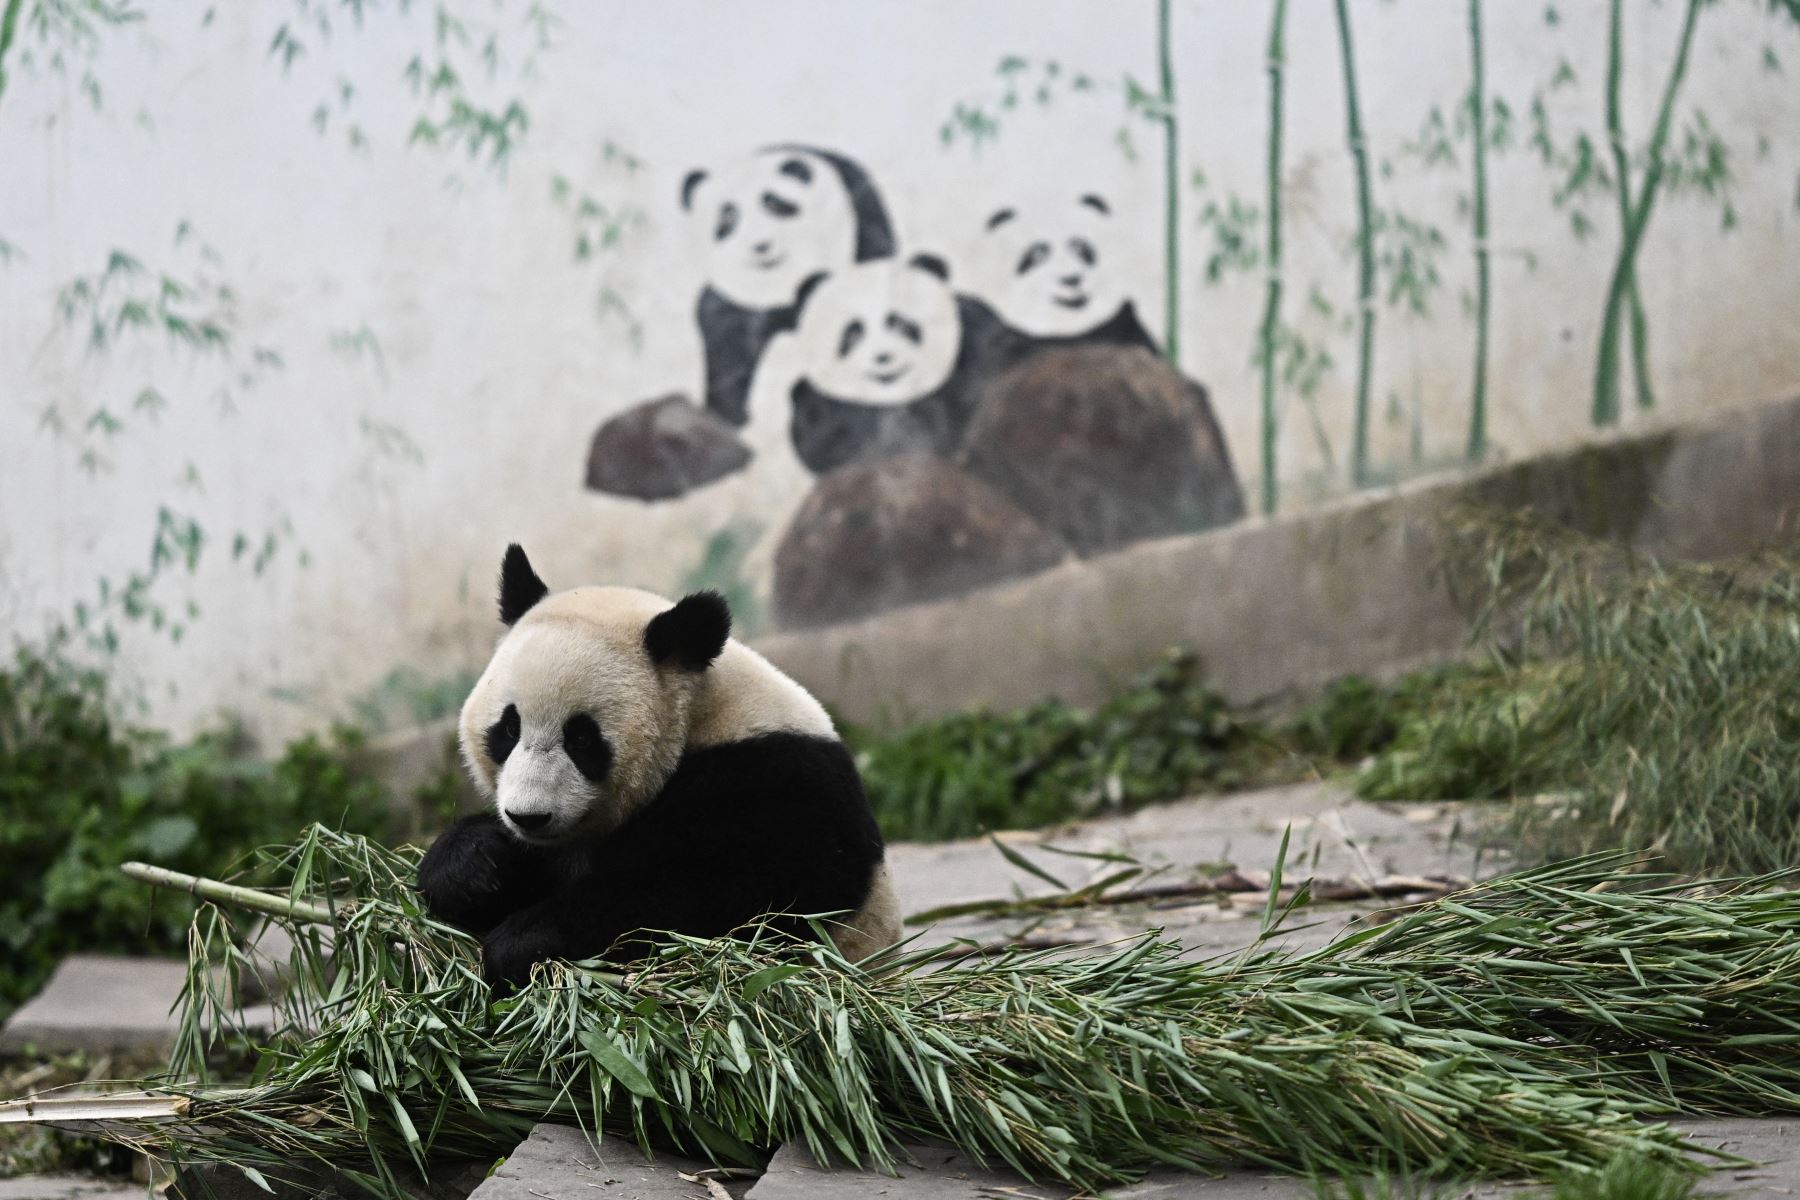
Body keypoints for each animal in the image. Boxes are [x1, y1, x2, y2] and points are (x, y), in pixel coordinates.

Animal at [417, 543, 900, 985]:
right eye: (509, 728)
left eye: (582, 738)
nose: (528, 817)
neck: (702, 717)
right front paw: (472, 865)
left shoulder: (777, 783)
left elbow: (717, 896)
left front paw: (521, 944)